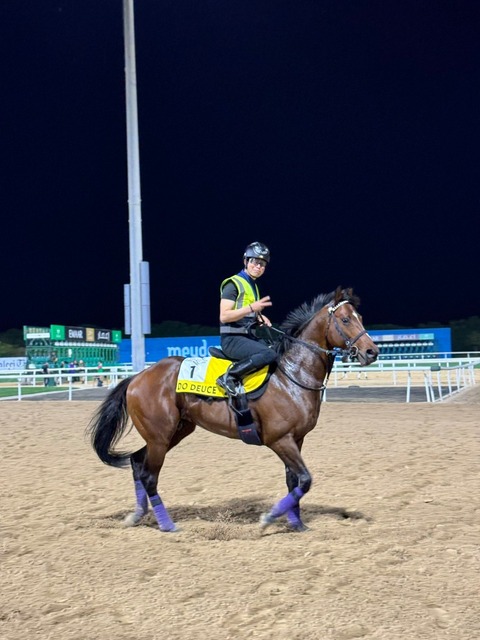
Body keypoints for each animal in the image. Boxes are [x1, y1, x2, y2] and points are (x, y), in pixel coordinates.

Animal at [86, 288, 378, 532]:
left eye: (360, 317)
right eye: (345, 320)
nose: (372, 352)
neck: (292, 375)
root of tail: (137, 377)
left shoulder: (297, 440)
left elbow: (293, 481)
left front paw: (296, 524)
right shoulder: (280, 440)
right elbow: (305, 479)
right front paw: (269, 518)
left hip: (174, 432)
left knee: (137, 463)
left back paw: (137, 515)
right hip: (159, 437)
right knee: (149, 476)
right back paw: (167, 524)